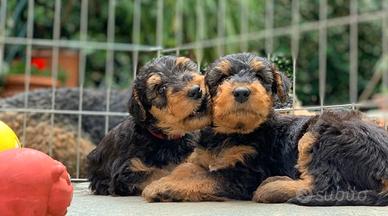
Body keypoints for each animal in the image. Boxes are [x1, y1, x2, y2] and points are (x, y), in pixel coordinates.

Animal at [87, 55, 211, 196]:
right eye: (161, 89)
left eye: (184, 68)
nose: (196, 90)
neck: (168, 139)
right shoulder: (126, 171)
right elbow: (157, 173)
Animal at [141, 53, 292, 202]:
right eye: (223, 78)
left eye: (259, 77)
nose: (241, 92)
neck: (230, 133)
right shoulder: (201, 157)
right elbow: (186, 167)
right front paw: (165, 180)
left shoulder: (247, 172)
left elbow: (205, 177)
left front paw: (160, 186)